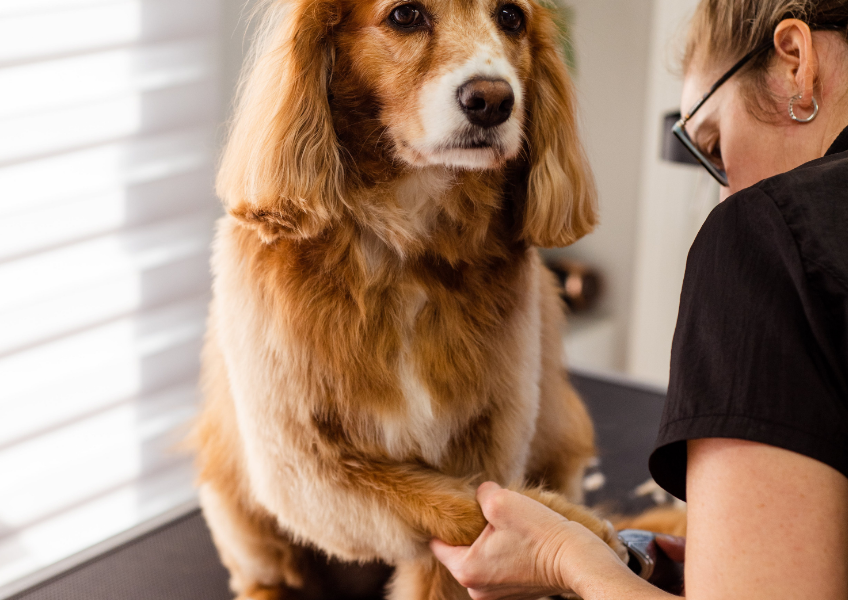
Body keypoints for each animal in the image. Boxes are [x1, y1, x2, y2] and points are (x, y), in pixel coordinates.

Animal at [195, 1, 628, 600]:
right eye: (405, 15)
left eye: (512, 17)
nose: (493, 100)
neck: (404, 247)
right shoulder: (303, 465)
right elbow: (454, 503)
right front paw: (573, 530)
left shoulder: (490, 433)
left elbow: (463, 520)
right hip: (238, 510)